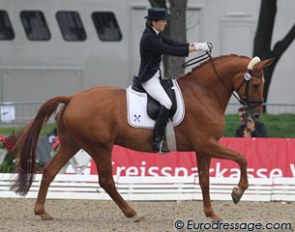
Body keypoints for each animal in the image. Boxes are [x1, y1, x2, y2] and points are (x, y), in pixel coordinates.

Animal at [12, 54, 274, 221]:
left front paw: (212, 214)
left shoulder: (203, 148)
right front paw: (237, 192)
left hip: (72, 144)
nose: (256, 114)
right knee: (106, 181)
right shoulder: (207, 144)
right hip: (99, 147)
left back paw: (42, 212)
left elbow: (204, 181)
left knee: (49, 171)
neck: (204, 93)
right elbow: (241, 158)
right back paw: (133, 213)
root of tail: (73, 97)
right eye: (256, 84)